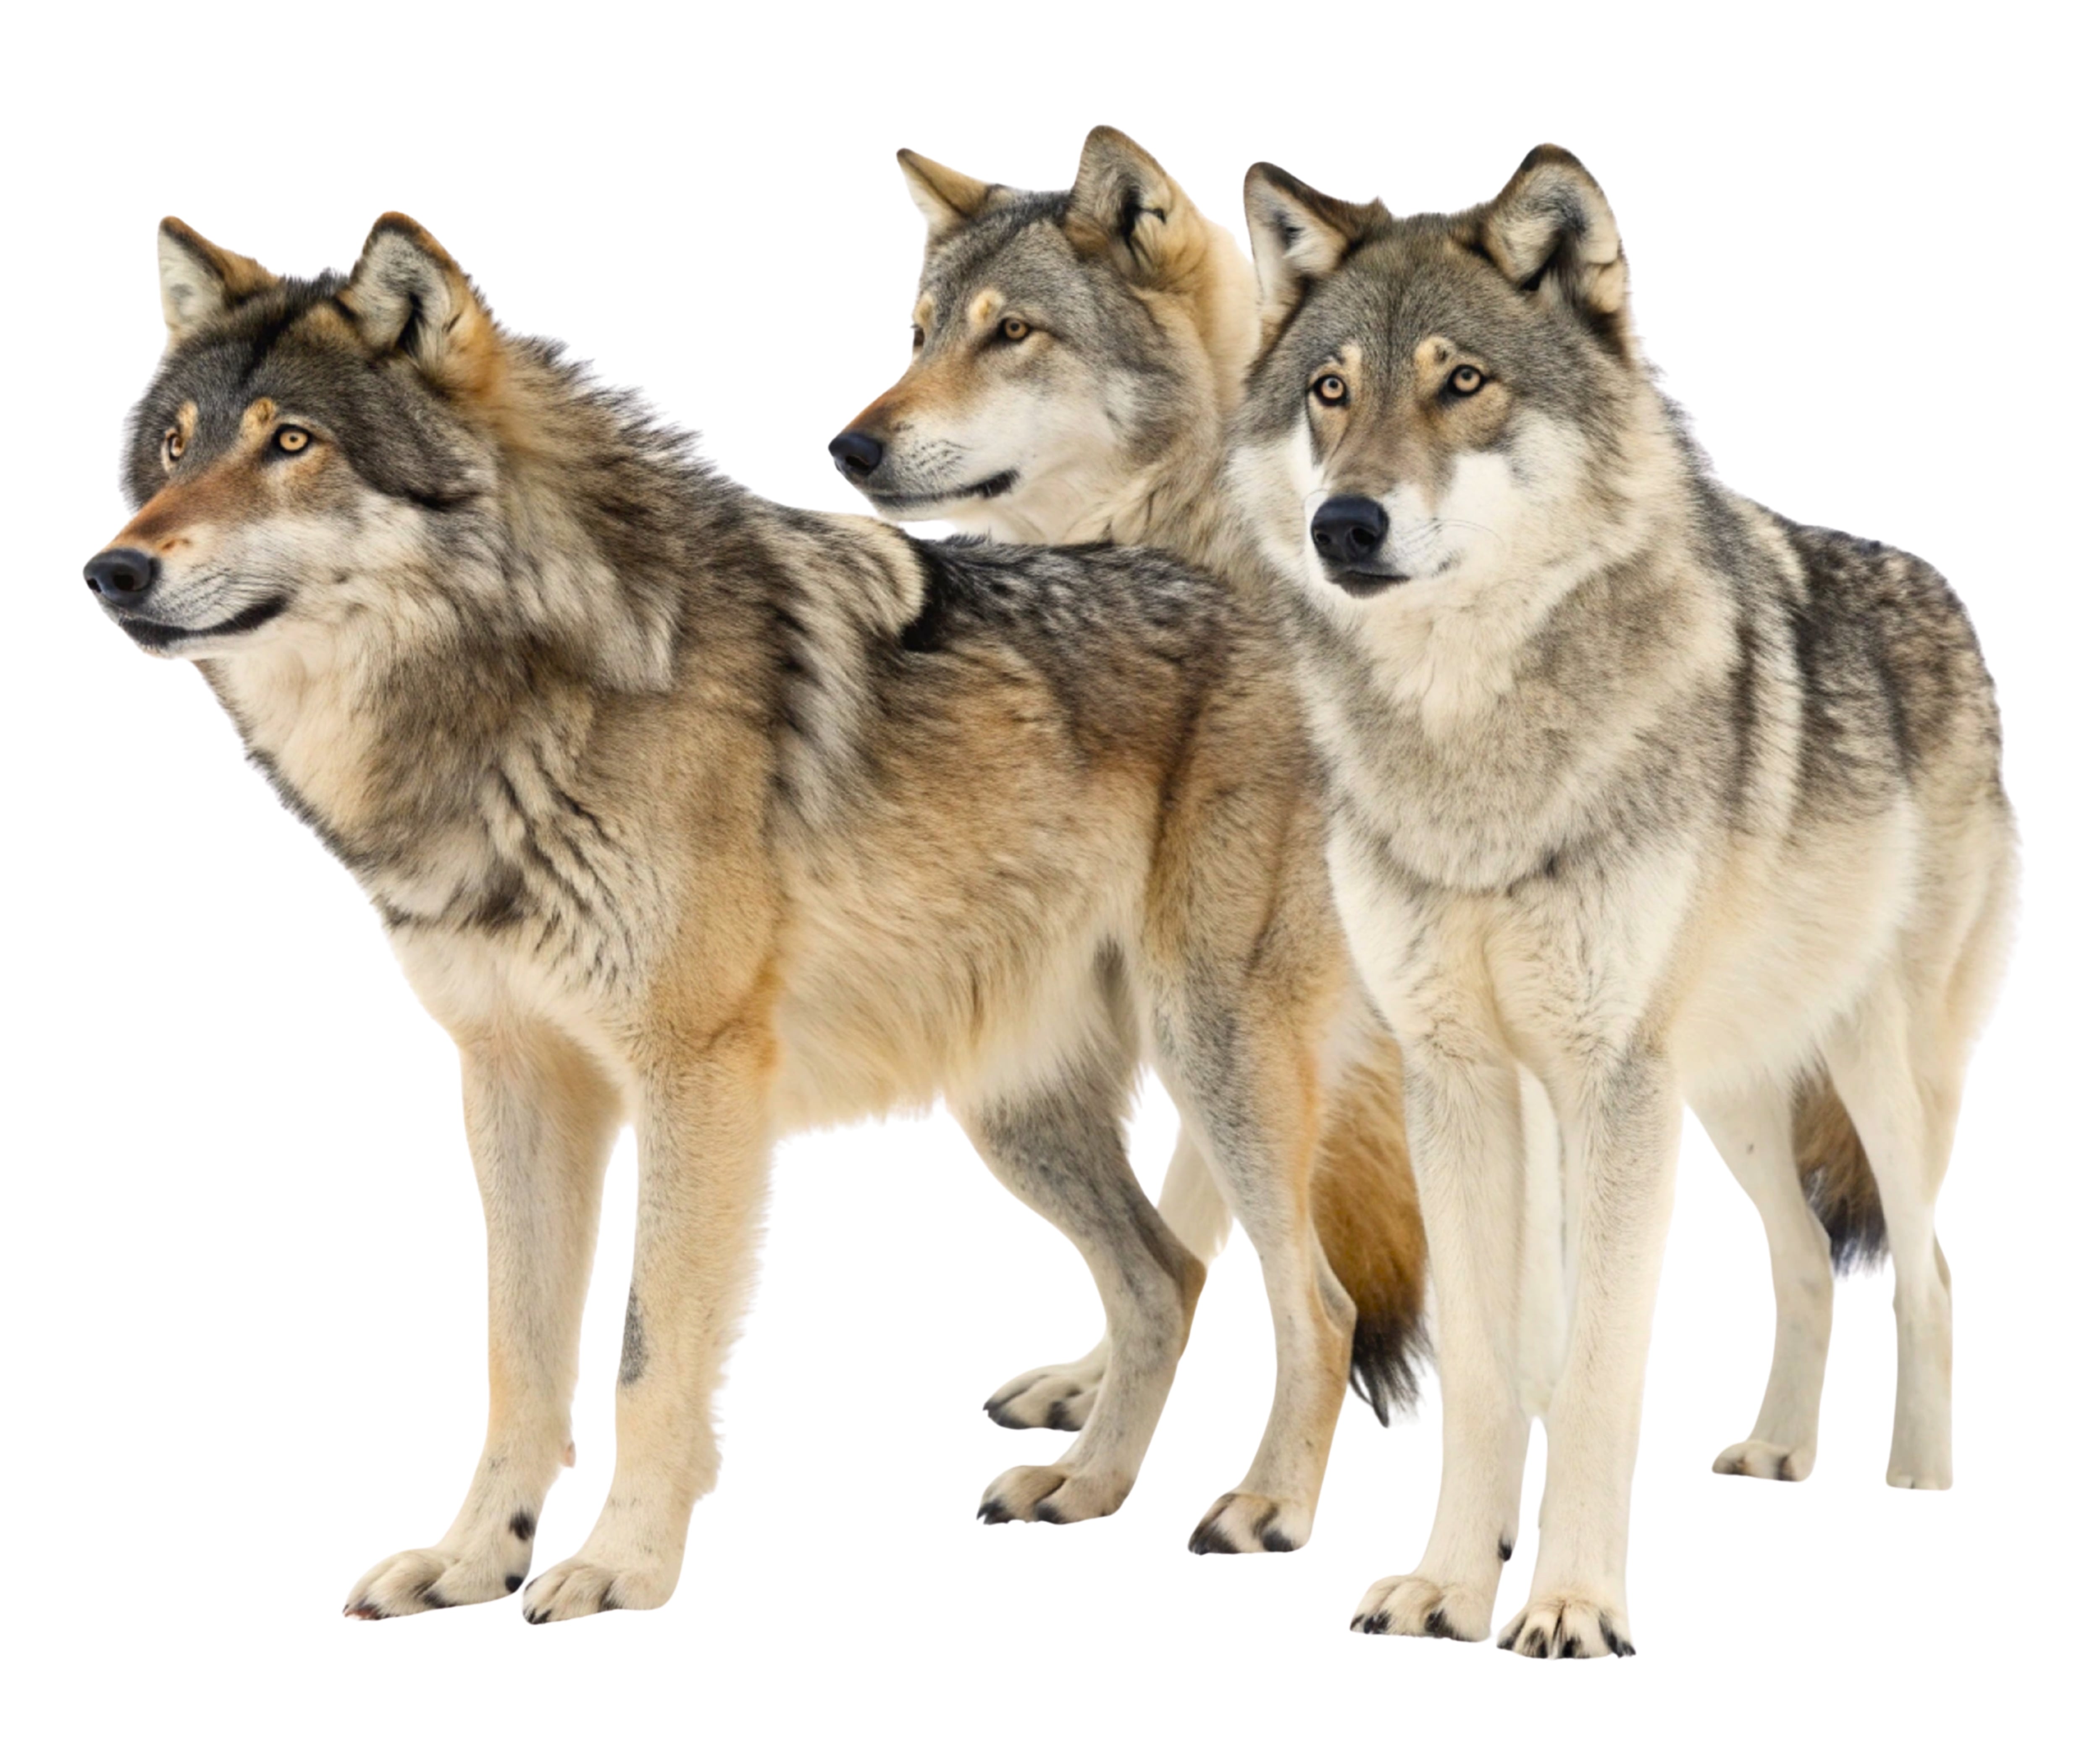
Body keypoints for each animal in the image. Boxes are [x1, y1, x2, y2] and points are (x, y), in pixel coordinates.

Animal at [81, 212, 1431, 1620]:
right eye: (176, 448)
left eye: (293, 443)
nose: (112, 567)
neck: (523, 698)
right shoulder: (515, 1077)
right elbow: (518, 1352)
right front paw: (474, 1556)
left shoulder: (696, 1077)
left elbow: (646, 1350)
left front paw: (620, 1564)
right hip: (1017, 1111)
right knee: (1166, 1276)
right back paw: (1083, 1485)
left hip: (1214, 1058)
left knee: (1317, 1303)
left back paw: (1266, 1507)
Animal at [1226, 146, 2016, 1655]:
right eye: (1331, 390)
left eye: (1464, 382)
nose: (1343, 522)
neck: (1472, 751)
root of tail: (1953, 601)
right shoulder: (1461, 1080)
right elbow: (1492, 1368)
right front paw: (1448, 1586)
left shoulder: (1607, 1083)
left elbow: (1594, 1371)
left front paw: (1574, 1608)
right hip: (1728, 1093)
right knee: (1805, 1258)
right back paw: (1778, 1455)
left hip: (1870, 1073)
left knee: (1933, 1272)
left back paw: (1920, 1500)